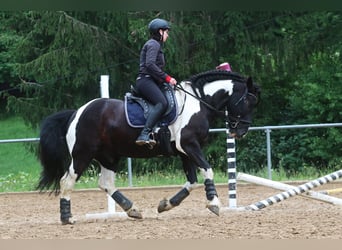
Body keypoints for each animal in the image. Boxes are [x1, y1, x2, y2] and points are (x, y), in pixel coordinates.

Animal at [36, 69, 260, 225]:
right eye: (248, 102)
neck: (199, 103)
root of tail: (77, 112)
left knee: (106, 183)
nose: (241, 132)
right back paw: (67, 218)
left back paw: (132, 209)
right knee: (67, 181)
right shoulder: (190, 146)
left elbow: (192, 181)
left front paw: (166, 205)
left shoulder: (184, 152)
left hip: (109, 157)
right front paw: (213, 203)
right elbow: (208, 170)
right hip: (82, 154)